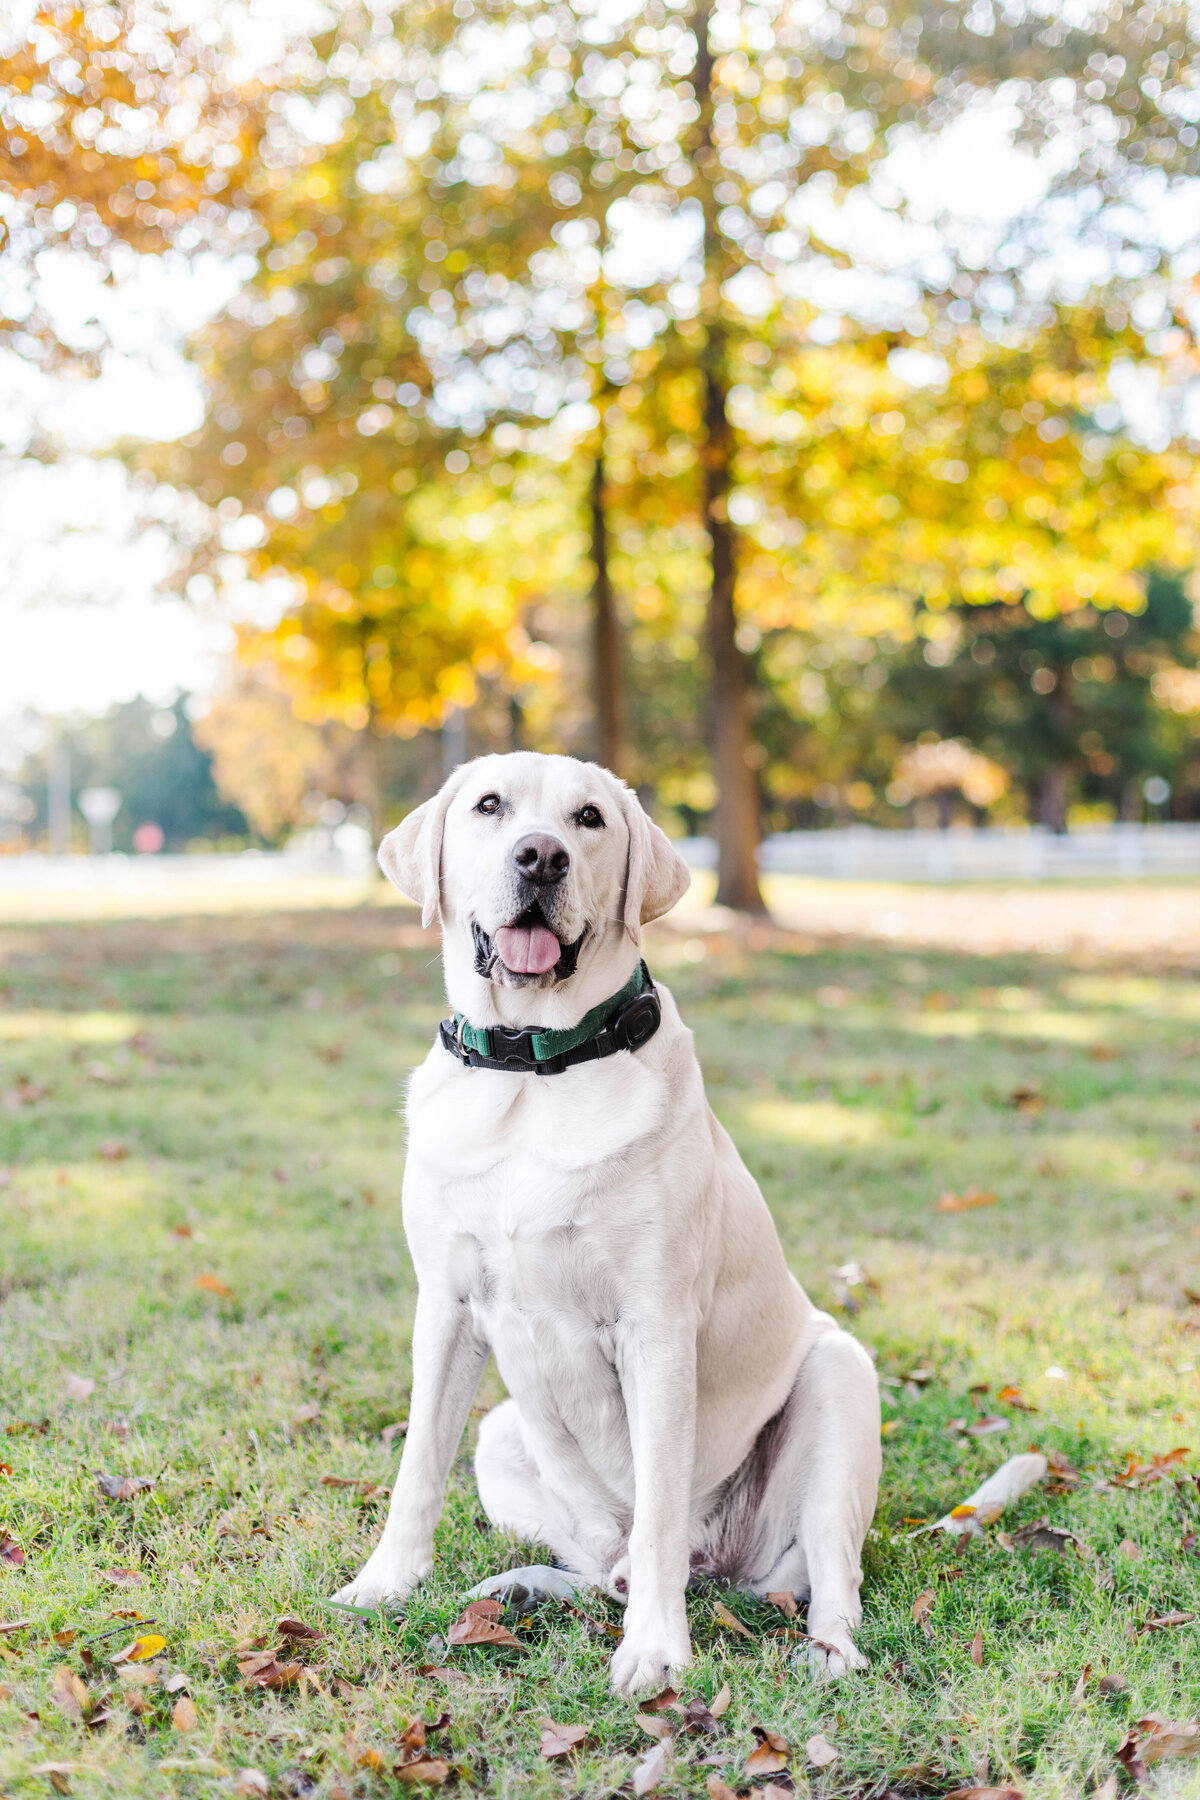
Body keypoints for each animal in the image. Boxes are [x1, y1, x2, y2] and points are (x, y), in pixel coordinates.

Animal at [338, 752, 881, 1692]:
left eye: (588, 819)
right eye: (489, 806)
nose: (540, 857)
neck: (532, 1069)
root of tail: (723, 1570)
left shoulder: (654, 1328)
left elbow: (659, 1509)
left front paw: (656, 1651)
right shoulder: (443, 1309)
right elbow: (416, 1471)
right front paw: (384, 1583)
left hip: (841, 1378)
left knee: (822, 1572)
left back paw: (829, 1655)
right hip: (502, 1435)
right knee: (603, 1566)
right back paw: (523, 1587)